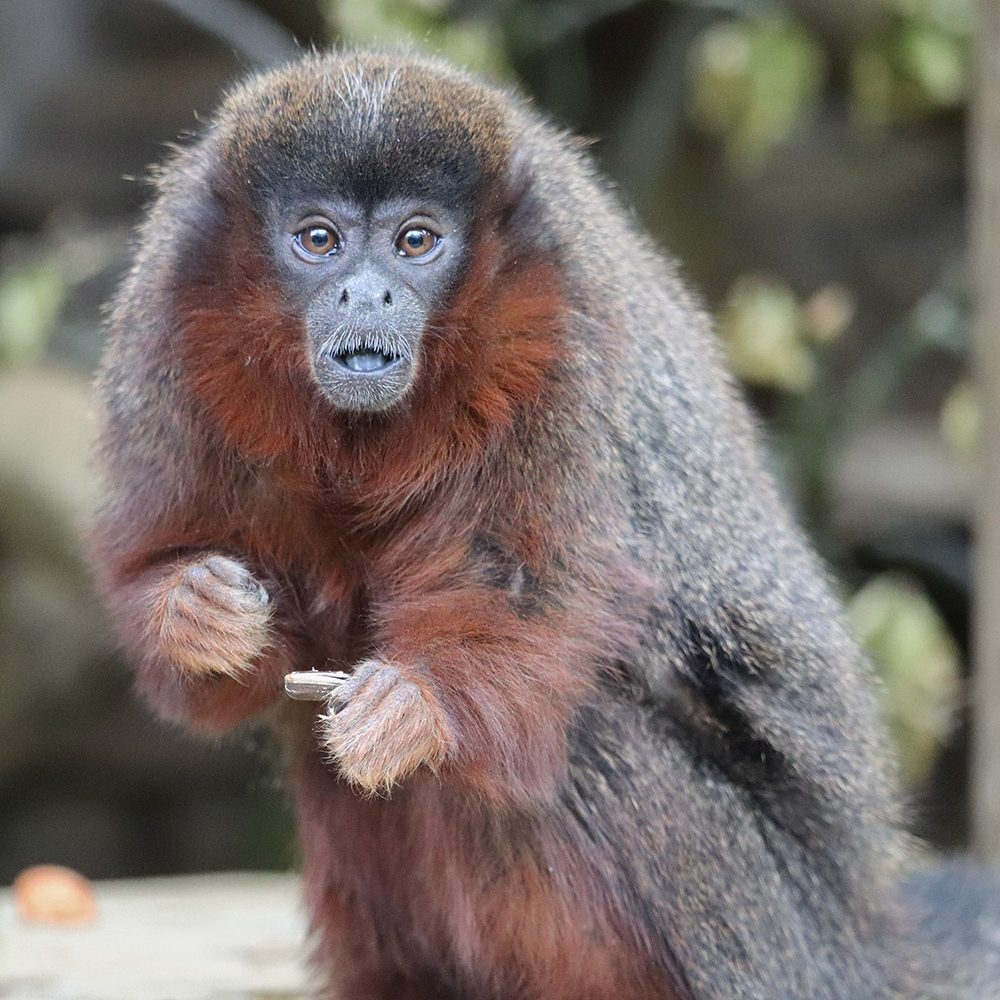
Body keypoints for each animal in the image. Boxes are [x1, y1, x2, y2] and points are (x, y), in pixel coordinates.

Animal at [92, 48, 1000, 1000]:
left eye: (415, 241)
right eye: (319, 240)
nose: (366, 292)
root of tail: (857, 939)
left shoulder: (562, 322)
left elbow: (533, 595)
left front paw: (416, 709)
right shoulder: (170, 308)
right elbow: (196, 619)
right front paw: (198, 611)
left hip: (760, 934)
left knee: (577, 730)